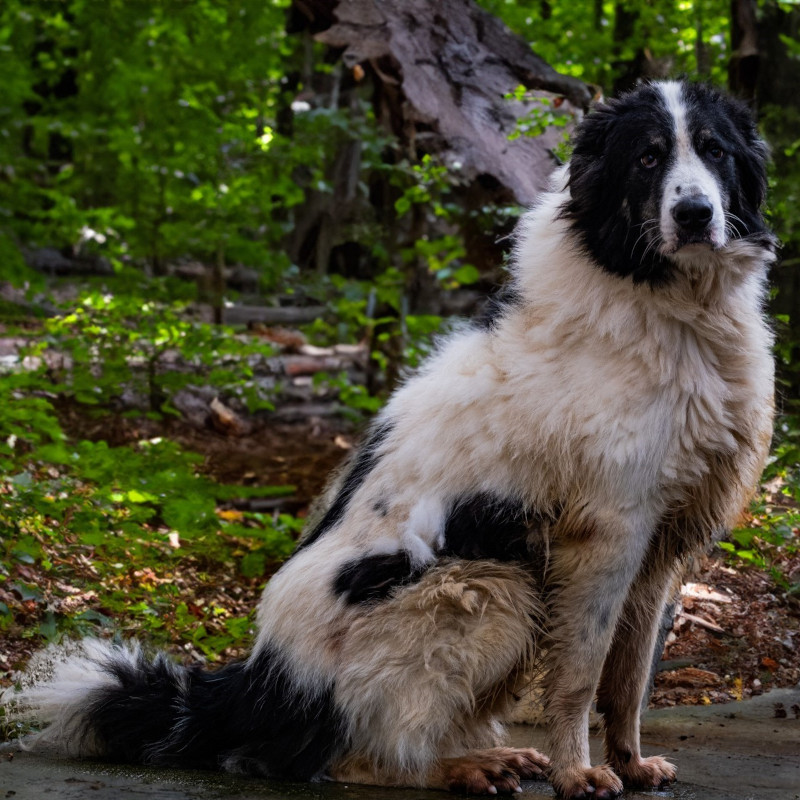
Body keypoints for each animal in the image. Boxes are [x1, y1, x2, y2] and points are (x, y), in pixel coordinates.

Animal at [6, 81, 776, 800]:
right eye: (648, 157)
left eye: (714, 151)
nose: (694, 214)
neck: (663, 301)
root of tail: (260, 684)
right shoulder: (609, 533)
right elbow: (581, 677)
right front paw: (577, 773)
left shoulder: (661, 544)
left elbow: (629, 680)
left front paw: (631, 763)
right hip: (490, 586)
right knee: (352, 757)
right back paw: (460, 767)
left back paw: (492, 753)